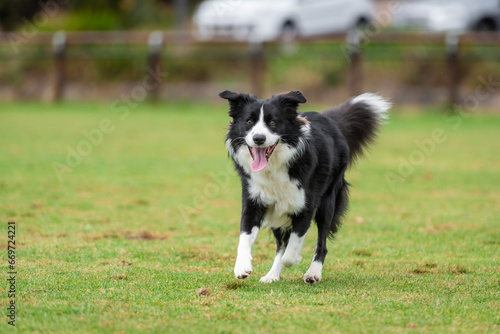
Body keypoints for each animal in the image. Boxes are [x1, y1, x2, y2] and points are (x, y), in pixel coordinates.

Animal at [223, 90, 390, 284]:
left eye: (273, 122)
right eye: (249, 121)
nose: (258, 138)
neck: (275, 167)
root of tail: (331, 120)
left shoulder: (304, 207)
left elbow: (291, 251)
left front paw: (296, 259)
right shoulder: (253, 203)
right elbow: (244, 238)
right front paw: (242, 266)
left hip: (328, 202)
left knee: (321, 243)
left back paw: (313, 273)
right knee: (281, 245)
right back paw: (272, 275)